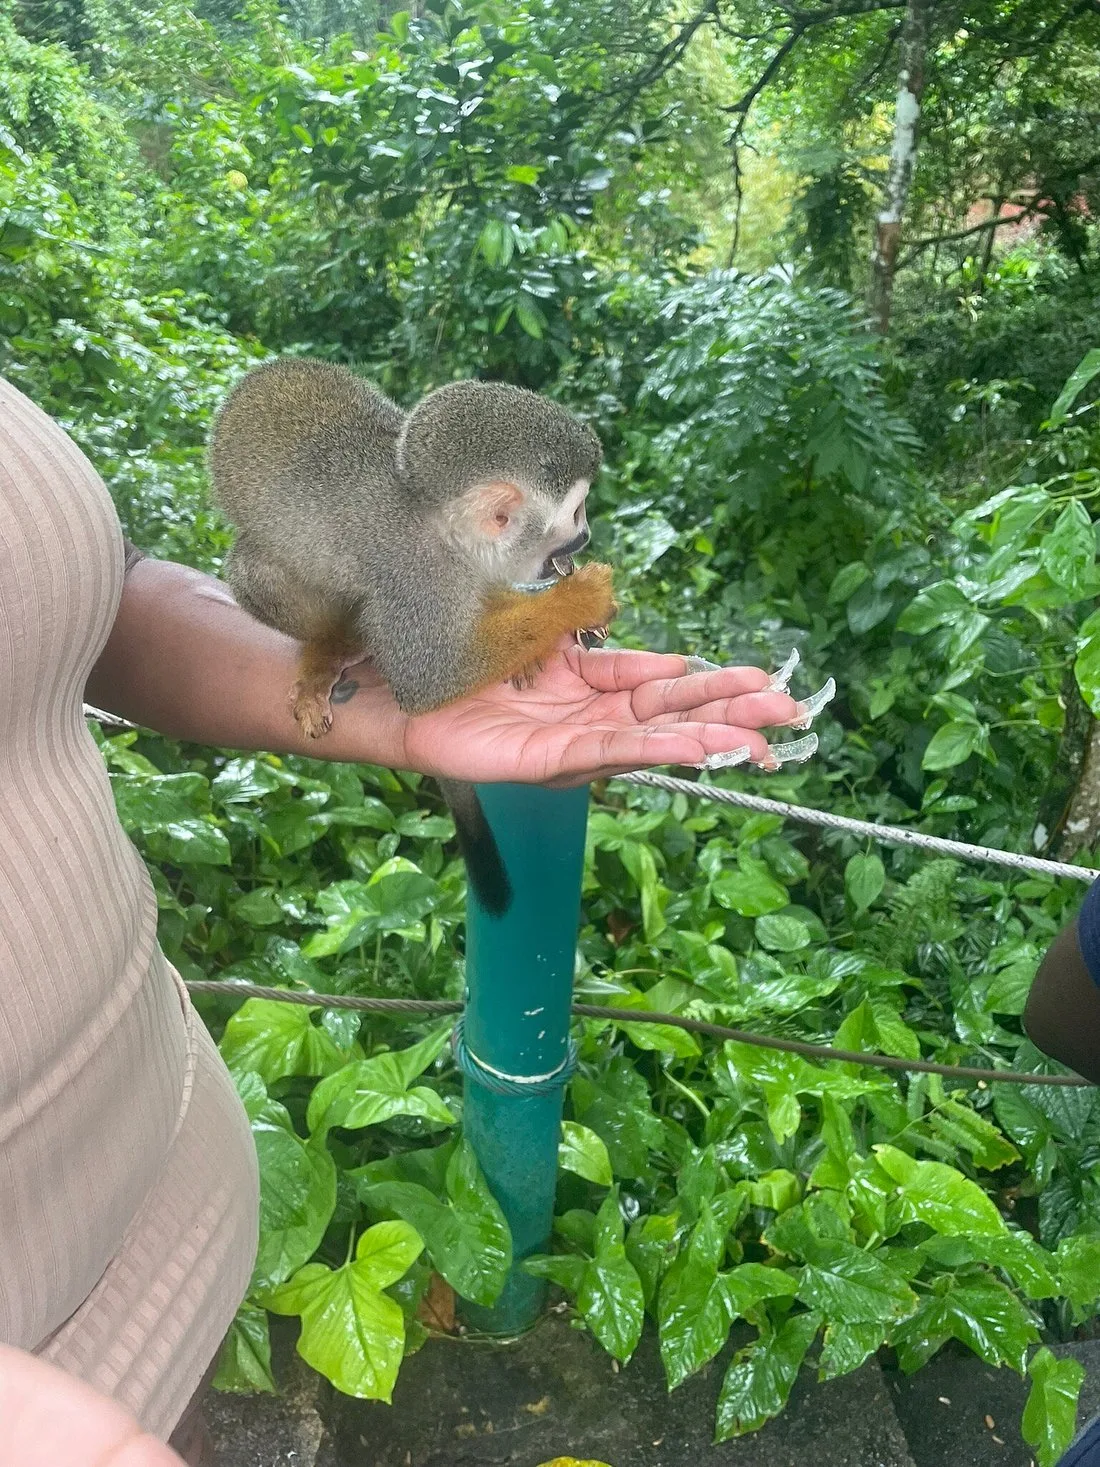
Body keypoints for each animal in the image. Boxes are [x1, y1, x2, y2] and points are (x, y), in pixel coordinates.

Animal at [208, 357, 617, 915]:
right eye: (575, 513)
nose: (587, 534)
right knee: (257, 570)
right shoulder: (417, 574)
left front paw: (531, 636)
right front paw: (574, 602)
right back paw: (330, 648)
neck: (440, 525)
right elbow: (428, 679)